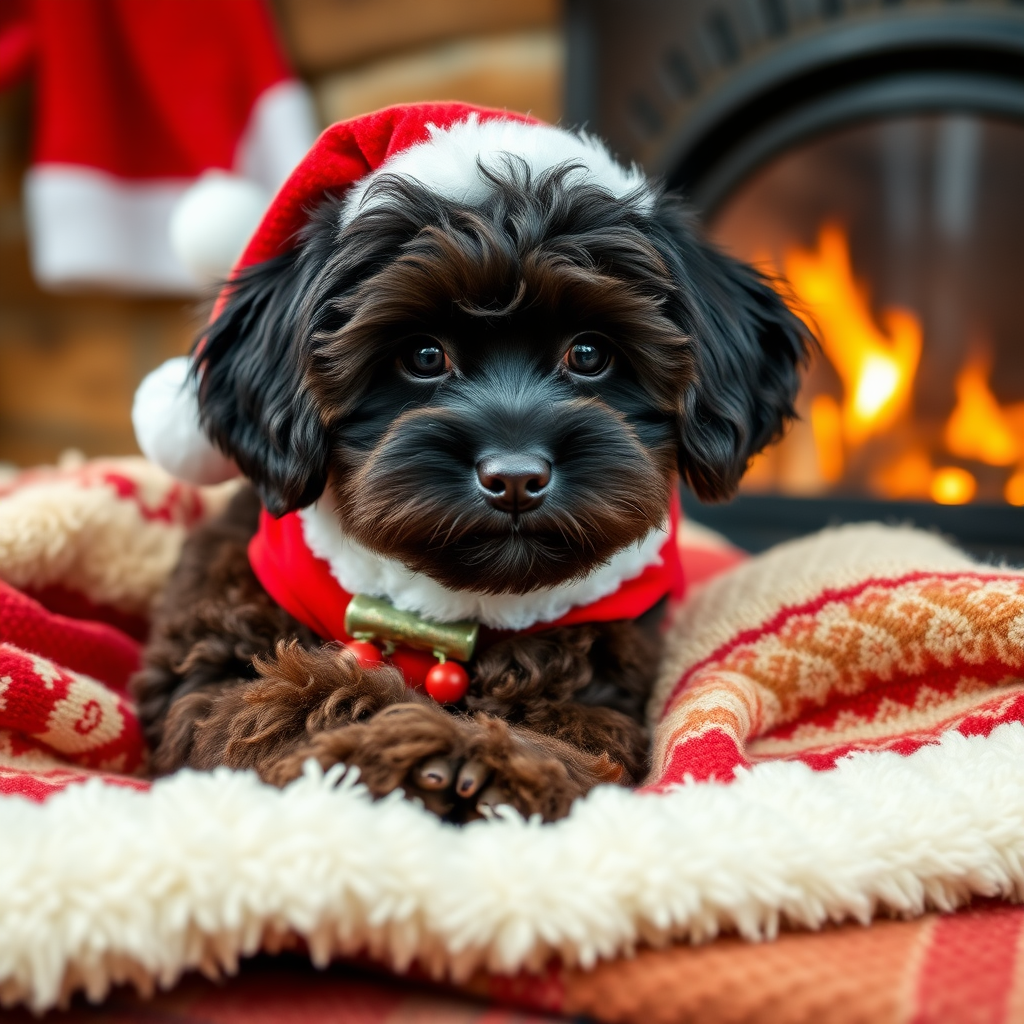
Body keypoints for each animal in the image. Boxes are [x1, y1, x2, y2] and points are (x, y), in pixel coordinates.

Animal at [132, 103, 811, 823]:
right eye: (424, 356)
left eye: (589, 353)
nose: (514, 478)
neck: (451, 617)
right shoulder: (204, 683)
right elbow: (293, 693)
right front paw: (402, 748)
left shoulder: (601, 699)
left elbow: (575, 736)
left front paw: (490, 764)